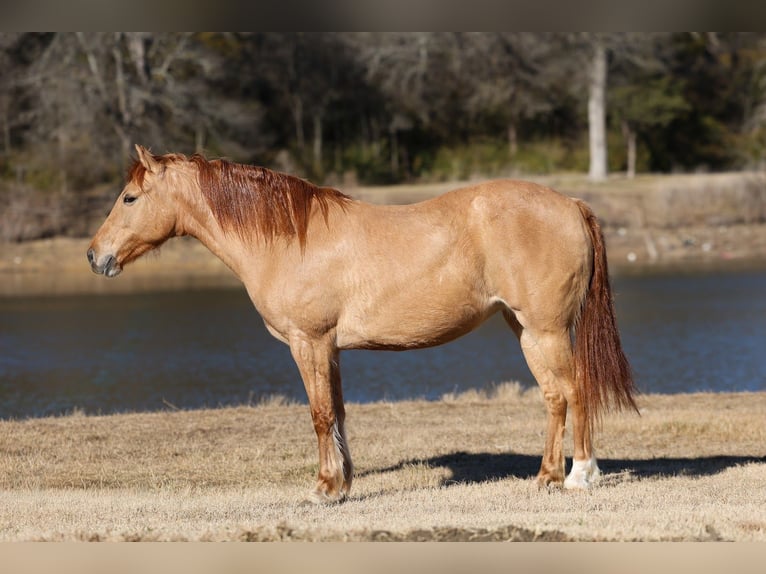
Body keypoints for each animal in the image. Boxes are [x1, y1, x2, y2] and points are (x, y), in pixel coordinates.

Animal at [88, 144, 637, 503]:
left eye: (130, 197)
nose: (96, 256)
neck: (290, 239)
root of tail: (571, 205)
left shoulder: (307, 343)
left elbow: (319, 414)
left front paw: (324, 488)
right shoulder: (329, 349)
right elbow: (338, 412)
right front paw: (343, 481)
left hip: (546, 330)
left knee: (576, 390)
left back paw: (579, 476)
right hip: (525, 330)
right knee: (554, 396)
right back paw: (546, 477)